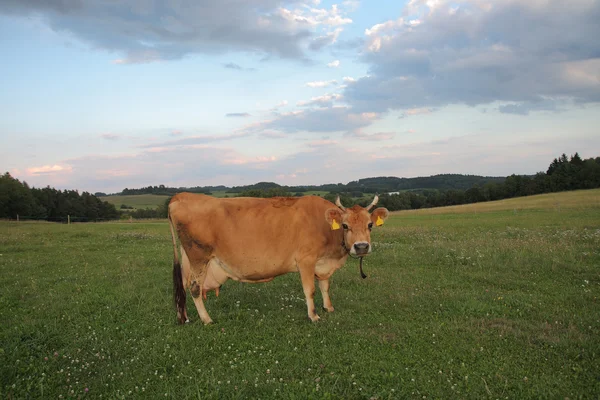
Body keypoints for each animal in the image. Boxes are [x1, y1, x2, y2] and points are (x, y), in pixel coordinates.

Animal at [166, 192, 390, 324]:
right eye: (345, 225)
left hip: (189, 260)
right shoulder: (306, 260)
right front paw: (314, 315)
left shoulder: (322, 264)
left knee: (184, 286)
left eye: (370, 225)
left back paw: (185, 317)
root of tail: (181, 196)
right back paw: (207, 319)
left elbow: (325, 286)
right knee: (194, 288)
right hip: (199, 256)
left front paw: (329, 307)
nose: (361, 246)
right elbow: (310, 290)